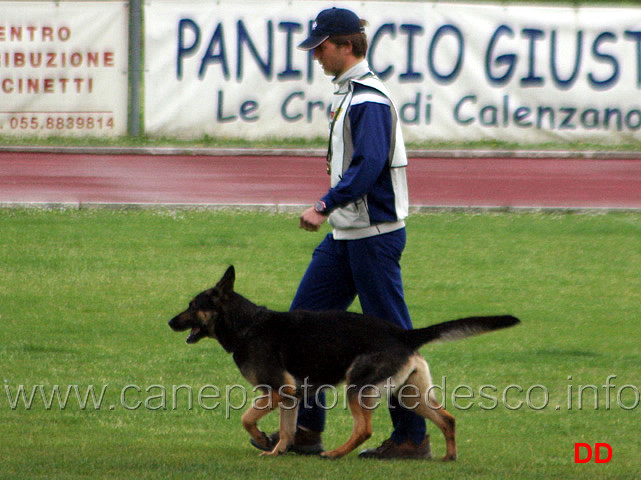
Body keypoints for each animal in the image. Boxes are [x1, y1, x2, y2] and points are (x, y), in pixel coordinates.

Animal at [170, 268, 520, 460]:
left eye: (193, 305)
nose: (170, 322)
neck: (248, 324)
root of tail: (403, 333)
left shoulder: (278, 390)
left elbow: (247, 418)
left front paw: (261, 439)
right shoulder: (290, 397)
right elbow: (286, 430)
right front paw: (276, 452)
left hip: (357, 388)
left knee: (364, 429)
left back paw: (336, 453)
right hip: (409, 395)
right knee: (447, 419)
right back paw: (449, 457)